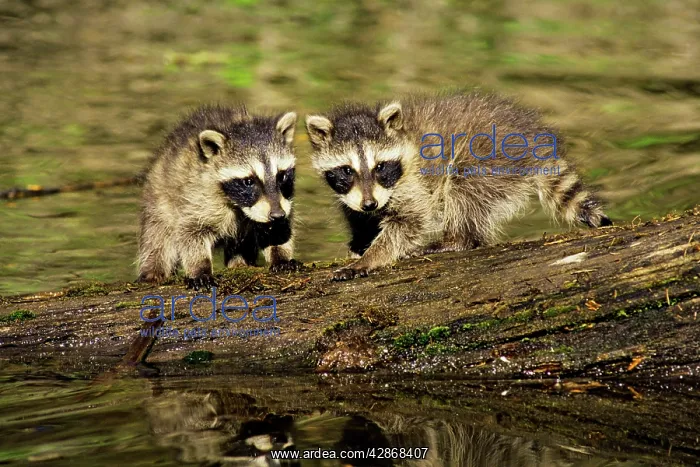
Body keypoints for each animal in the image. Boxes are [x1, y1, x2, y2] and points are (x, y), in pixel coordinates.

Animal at [137, 104, 300, 289]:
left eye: (282, 176)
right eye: (249, 181)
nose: (277, 215)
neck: (238, 206)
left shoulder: (282, 201)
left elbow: (279, 229)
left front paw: (280, 255)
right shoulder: (196, 196)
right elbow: (190, 232)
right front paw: (200, 268)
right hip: (158, 200)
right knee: (158, 239)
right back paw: (153, 271)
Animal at [306, 90, 612, 281]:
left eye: (380, 167)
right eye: (347, 170)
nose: (370, 204)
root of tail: (533, 140)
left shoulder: (414, 183)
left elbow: (409, 223)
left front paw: (371, 257)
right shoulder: (354, 195)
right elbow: (356, 214)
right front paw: (361, 239)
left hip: (488, 159)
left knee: (463, 190)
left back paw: (456, 240)